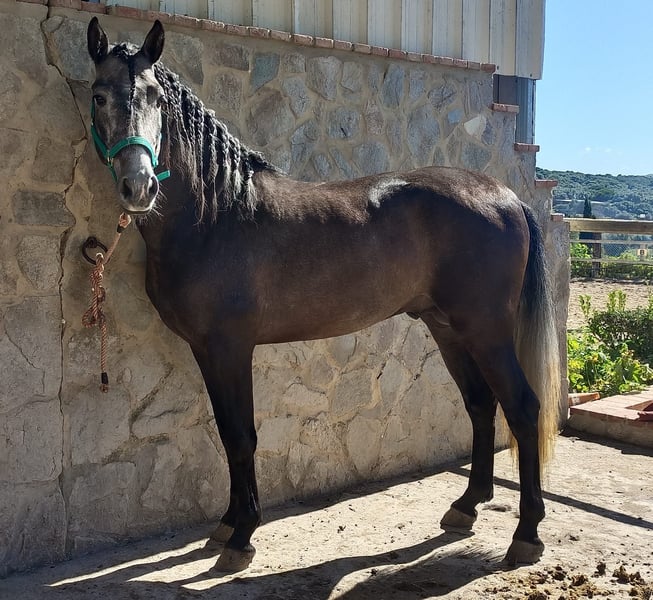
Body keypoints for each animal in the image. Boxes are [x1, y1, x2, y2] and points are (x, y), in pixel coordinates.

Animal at [85, 17, 561, 572]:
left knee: (522, 408)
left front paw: (242, 537)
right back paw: (466, 507)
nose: (138, 186)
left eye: (155, 97)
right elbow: (227, 433)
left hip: (486, 330)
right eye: (99, 95)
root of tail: (505, 196)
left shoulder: (230, 349)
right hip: (448, 327)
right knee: (481, 405)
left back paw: (526, 534)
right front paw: (227, 525)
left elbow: (242, 436)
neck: (216, 214)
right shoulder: (206, 351)